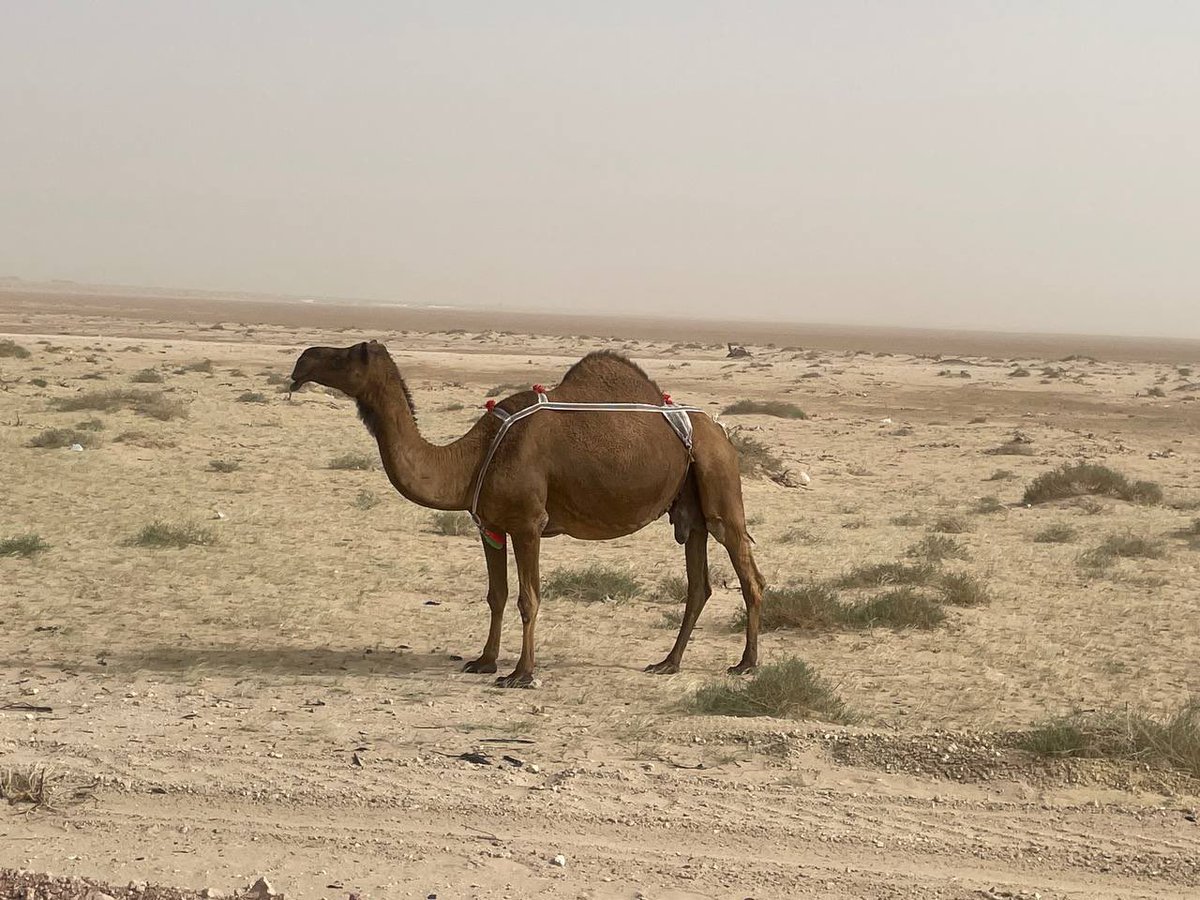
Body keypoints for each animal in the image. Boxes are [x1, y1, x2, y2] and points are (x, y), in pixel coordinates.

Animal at [290, 340, 765, 687]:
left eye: (344, 356)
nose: (302, 361)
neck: (471, 458)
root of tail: (721, 432)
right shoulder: (490, 527)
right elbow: (495, 595)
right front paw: (484, 661)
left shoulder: (527, 524)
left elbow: (528, 598)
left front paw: (521, 673)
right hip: (689, 508)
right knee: (699, 584)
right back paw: (668, 662)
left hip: (719, 480)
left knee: (748, 573)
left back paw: (745, 664)